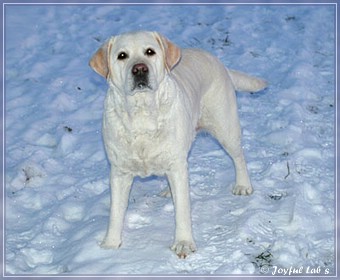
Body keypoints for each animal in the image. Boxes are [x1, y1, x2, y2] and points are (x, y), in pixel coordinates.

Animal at [89, 30, 266, 258]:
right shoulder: (119, 171)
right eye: (122, 56)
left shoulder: (177, 167)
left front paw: (183, 243)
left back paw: (243, 185)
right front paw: (110, 245)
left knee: (238, 156)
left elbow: (182, 210)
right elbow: (115, 212)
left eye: (150, 52)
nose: (140, 69)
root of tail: (219, 63)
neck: (141, 114)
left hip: (224, 127)